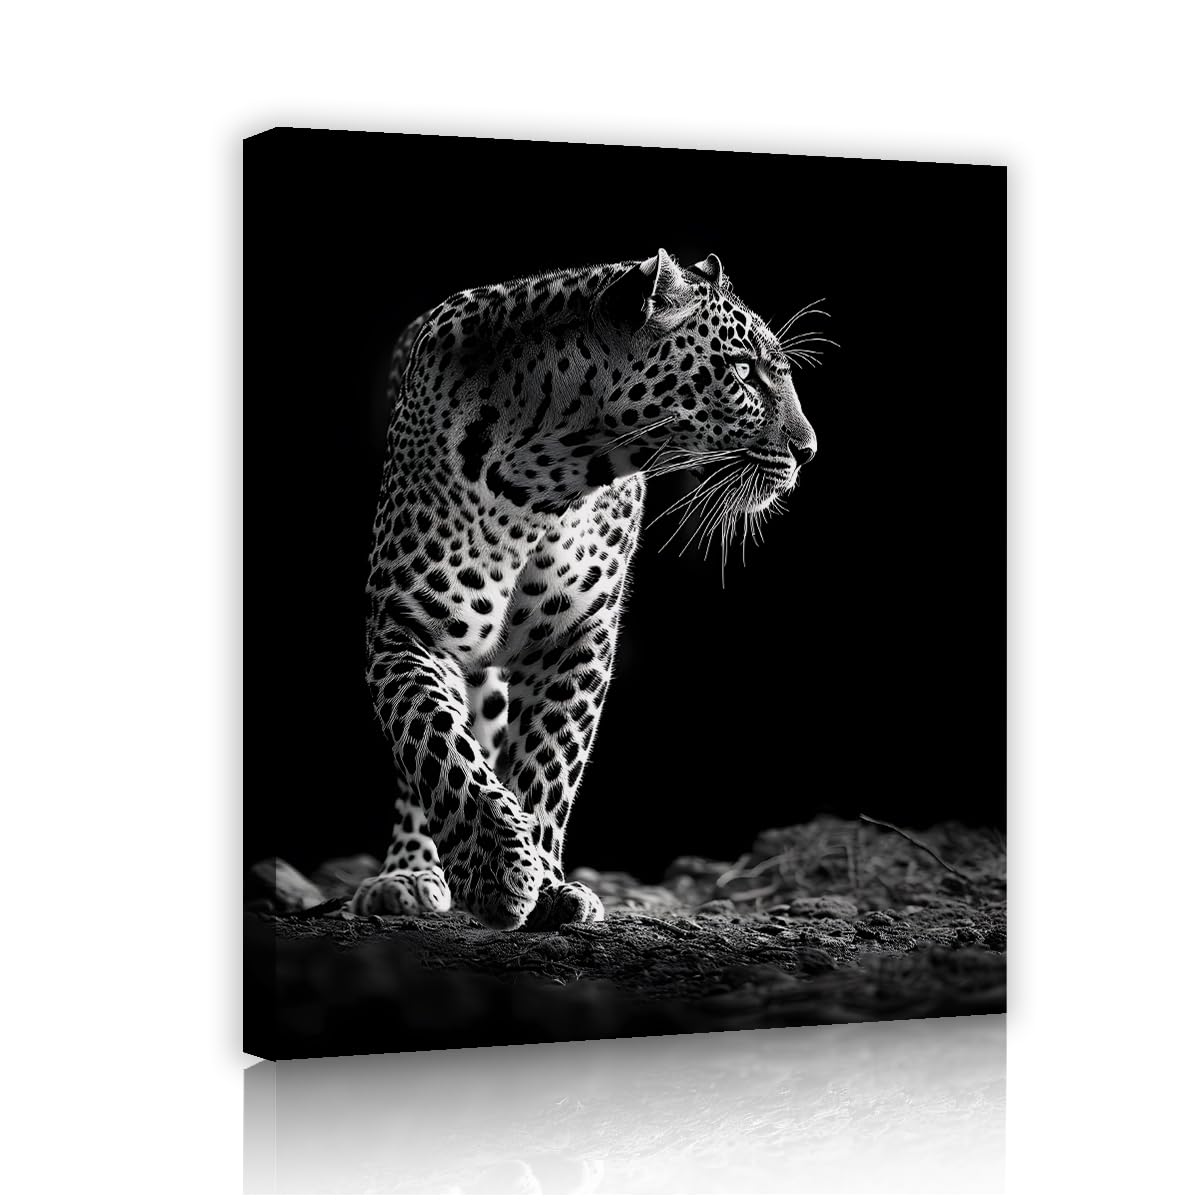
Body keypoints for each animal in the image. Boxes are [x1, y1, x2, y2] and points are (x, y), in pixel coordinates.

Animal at [349, 249, 820, 930]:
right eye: (743, 372)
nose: (809, 450)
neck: (546, 481)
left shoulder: (576, 638)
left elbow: (548, 765)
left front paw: (546, 883)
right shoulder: (408, 624)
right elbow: (438, 747)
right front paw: (495, 871)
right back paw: (409, 873)